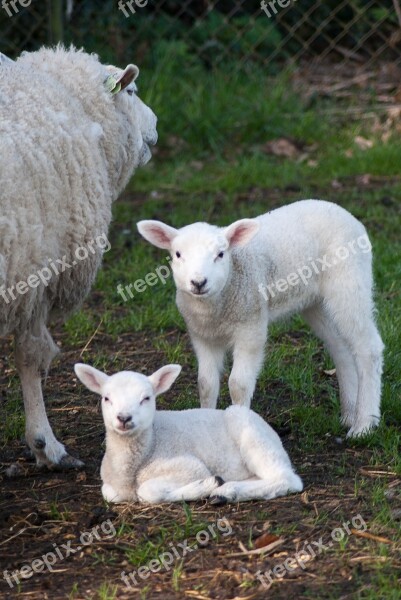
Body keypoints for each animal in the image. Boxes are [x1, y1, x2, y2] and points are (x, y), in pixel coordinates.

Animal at [74, 360, 300, 502]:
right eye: (106, 398)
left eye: (146, 398)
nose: (123, 418)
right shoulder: (110, 485)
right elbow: (109, 494)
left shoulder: (190, 467)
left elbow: (147, 491)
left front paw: (206, 485)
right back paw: (227, 492)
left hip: (251, 433)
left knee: (287, 479)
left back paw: (226, 490)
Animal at [138, 199, 384, 438]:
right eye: (178, 254)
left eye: (220, 254)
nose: (198, 283)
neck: (216, 308)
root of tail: (344, 212)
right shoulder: (202, 336)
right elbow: (206, 384)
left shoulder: (251, 329)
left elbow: (238, 384)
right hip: (315, 302)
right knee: (340, 348)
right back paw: (349, 413)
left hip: (349, 281)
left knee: (368, 348)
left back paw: (364, 424)